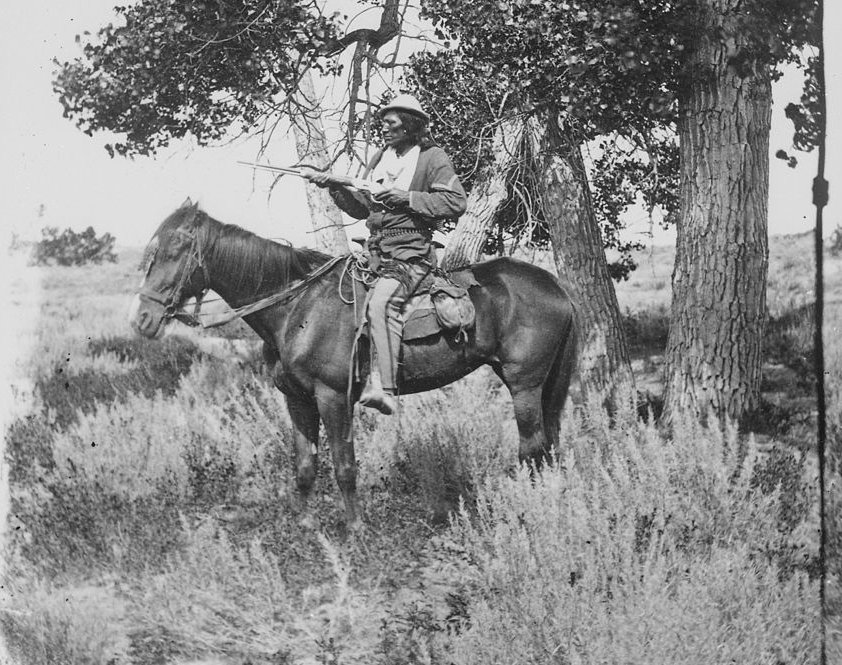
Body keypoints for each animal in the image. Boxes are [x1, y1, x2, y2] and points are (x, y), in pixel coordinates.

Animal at [129, 200, 579, 529]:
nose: (143, 320)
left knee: (533, 446)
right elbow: (305, 465)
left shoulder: (332, 398)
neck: (297, 307)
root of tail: (558, 288)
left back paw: (530, 506)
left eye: (173, 250)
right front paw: (304, 523)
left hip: (524, 383)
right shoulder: (297, 400)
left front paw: (356, 526)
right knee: (547, 444)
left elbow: (344, 465)